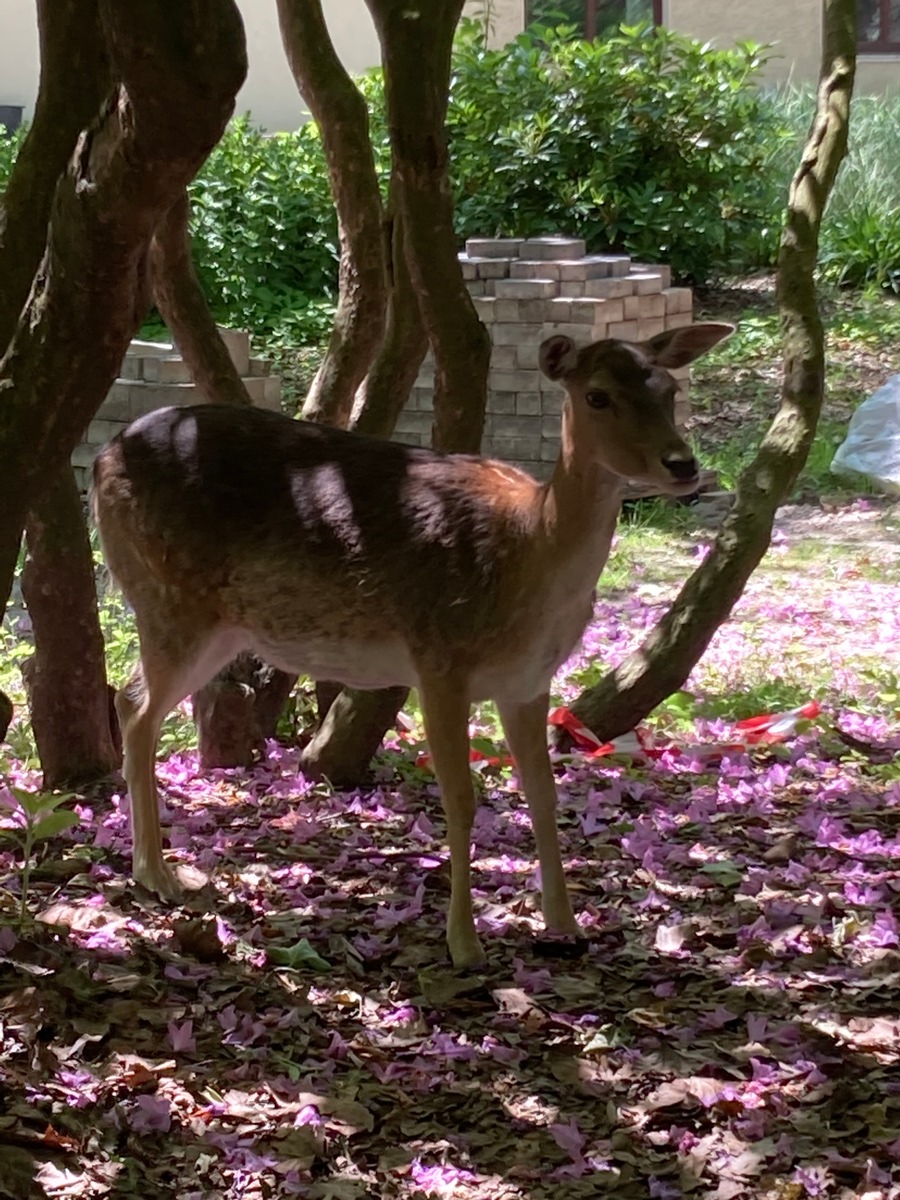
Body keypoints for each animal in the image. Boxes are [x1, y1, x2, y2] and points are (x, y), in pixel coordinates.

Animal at [93, 324, 734, 969]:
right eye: (597, 395)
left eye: (669, 388)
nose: (683, 464)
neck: (529, 548)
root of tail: (101, 459)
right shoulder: (440, 659)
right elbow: (461, 798)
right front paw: (465, 944)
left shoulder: (529, 680)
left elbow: (544, 793)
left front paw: (566, 925)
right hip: (170, 598)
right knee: (138, 708)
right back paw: (157, 875)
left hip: (216, 625)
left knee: (131, 701)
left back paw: (152, 869)